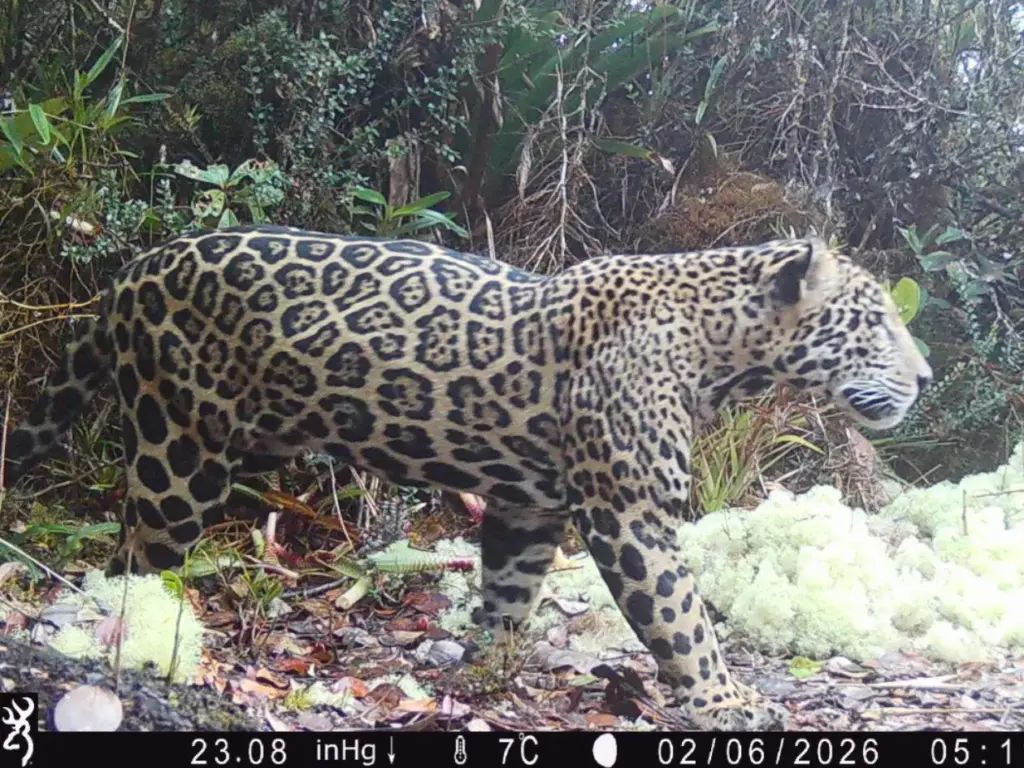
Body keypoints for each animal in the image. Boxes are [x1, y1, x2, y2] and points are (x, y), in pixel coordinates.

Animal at [2, 224, 932, 731]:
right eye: (876, 322)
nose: (925, 379)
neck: (721, 352)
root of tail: (128, 273)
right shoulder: (629, 513)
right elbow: (683, 619)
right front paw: (726, 699)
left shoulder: (528, 505)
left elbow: (510, 592)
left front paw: (489, 669)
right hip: (181, 450)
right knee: (137, 556)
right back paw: (148, 637)